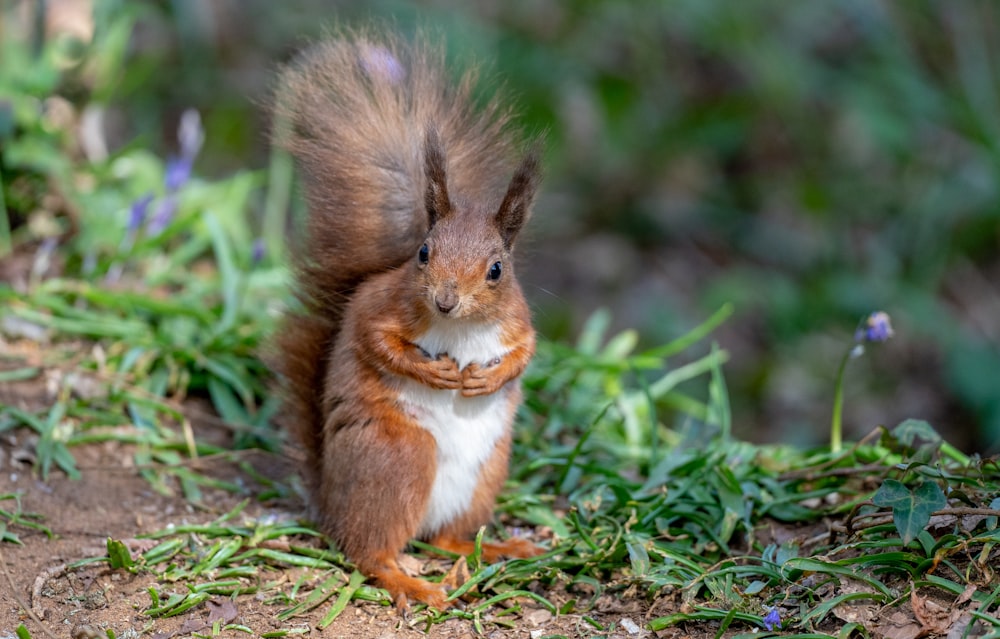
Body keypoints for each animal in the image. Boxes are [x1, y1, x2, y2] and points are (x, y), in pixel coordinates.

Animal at [270, 31, 544, 608]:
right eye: (423, 252)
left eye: (496, 270)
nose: (444, 301)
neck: (459, 328)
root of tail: (330, 503)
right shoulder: (381, 304)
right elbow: (373, 340)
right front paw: (431, 371)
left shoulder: (518, 319)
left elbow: (526, 352)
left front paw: (488, 378)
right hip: (402, 455)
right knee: (368, 553)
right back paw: (413, 583)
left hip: (484, 477)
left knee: (445, 539)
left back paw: (499, 549)